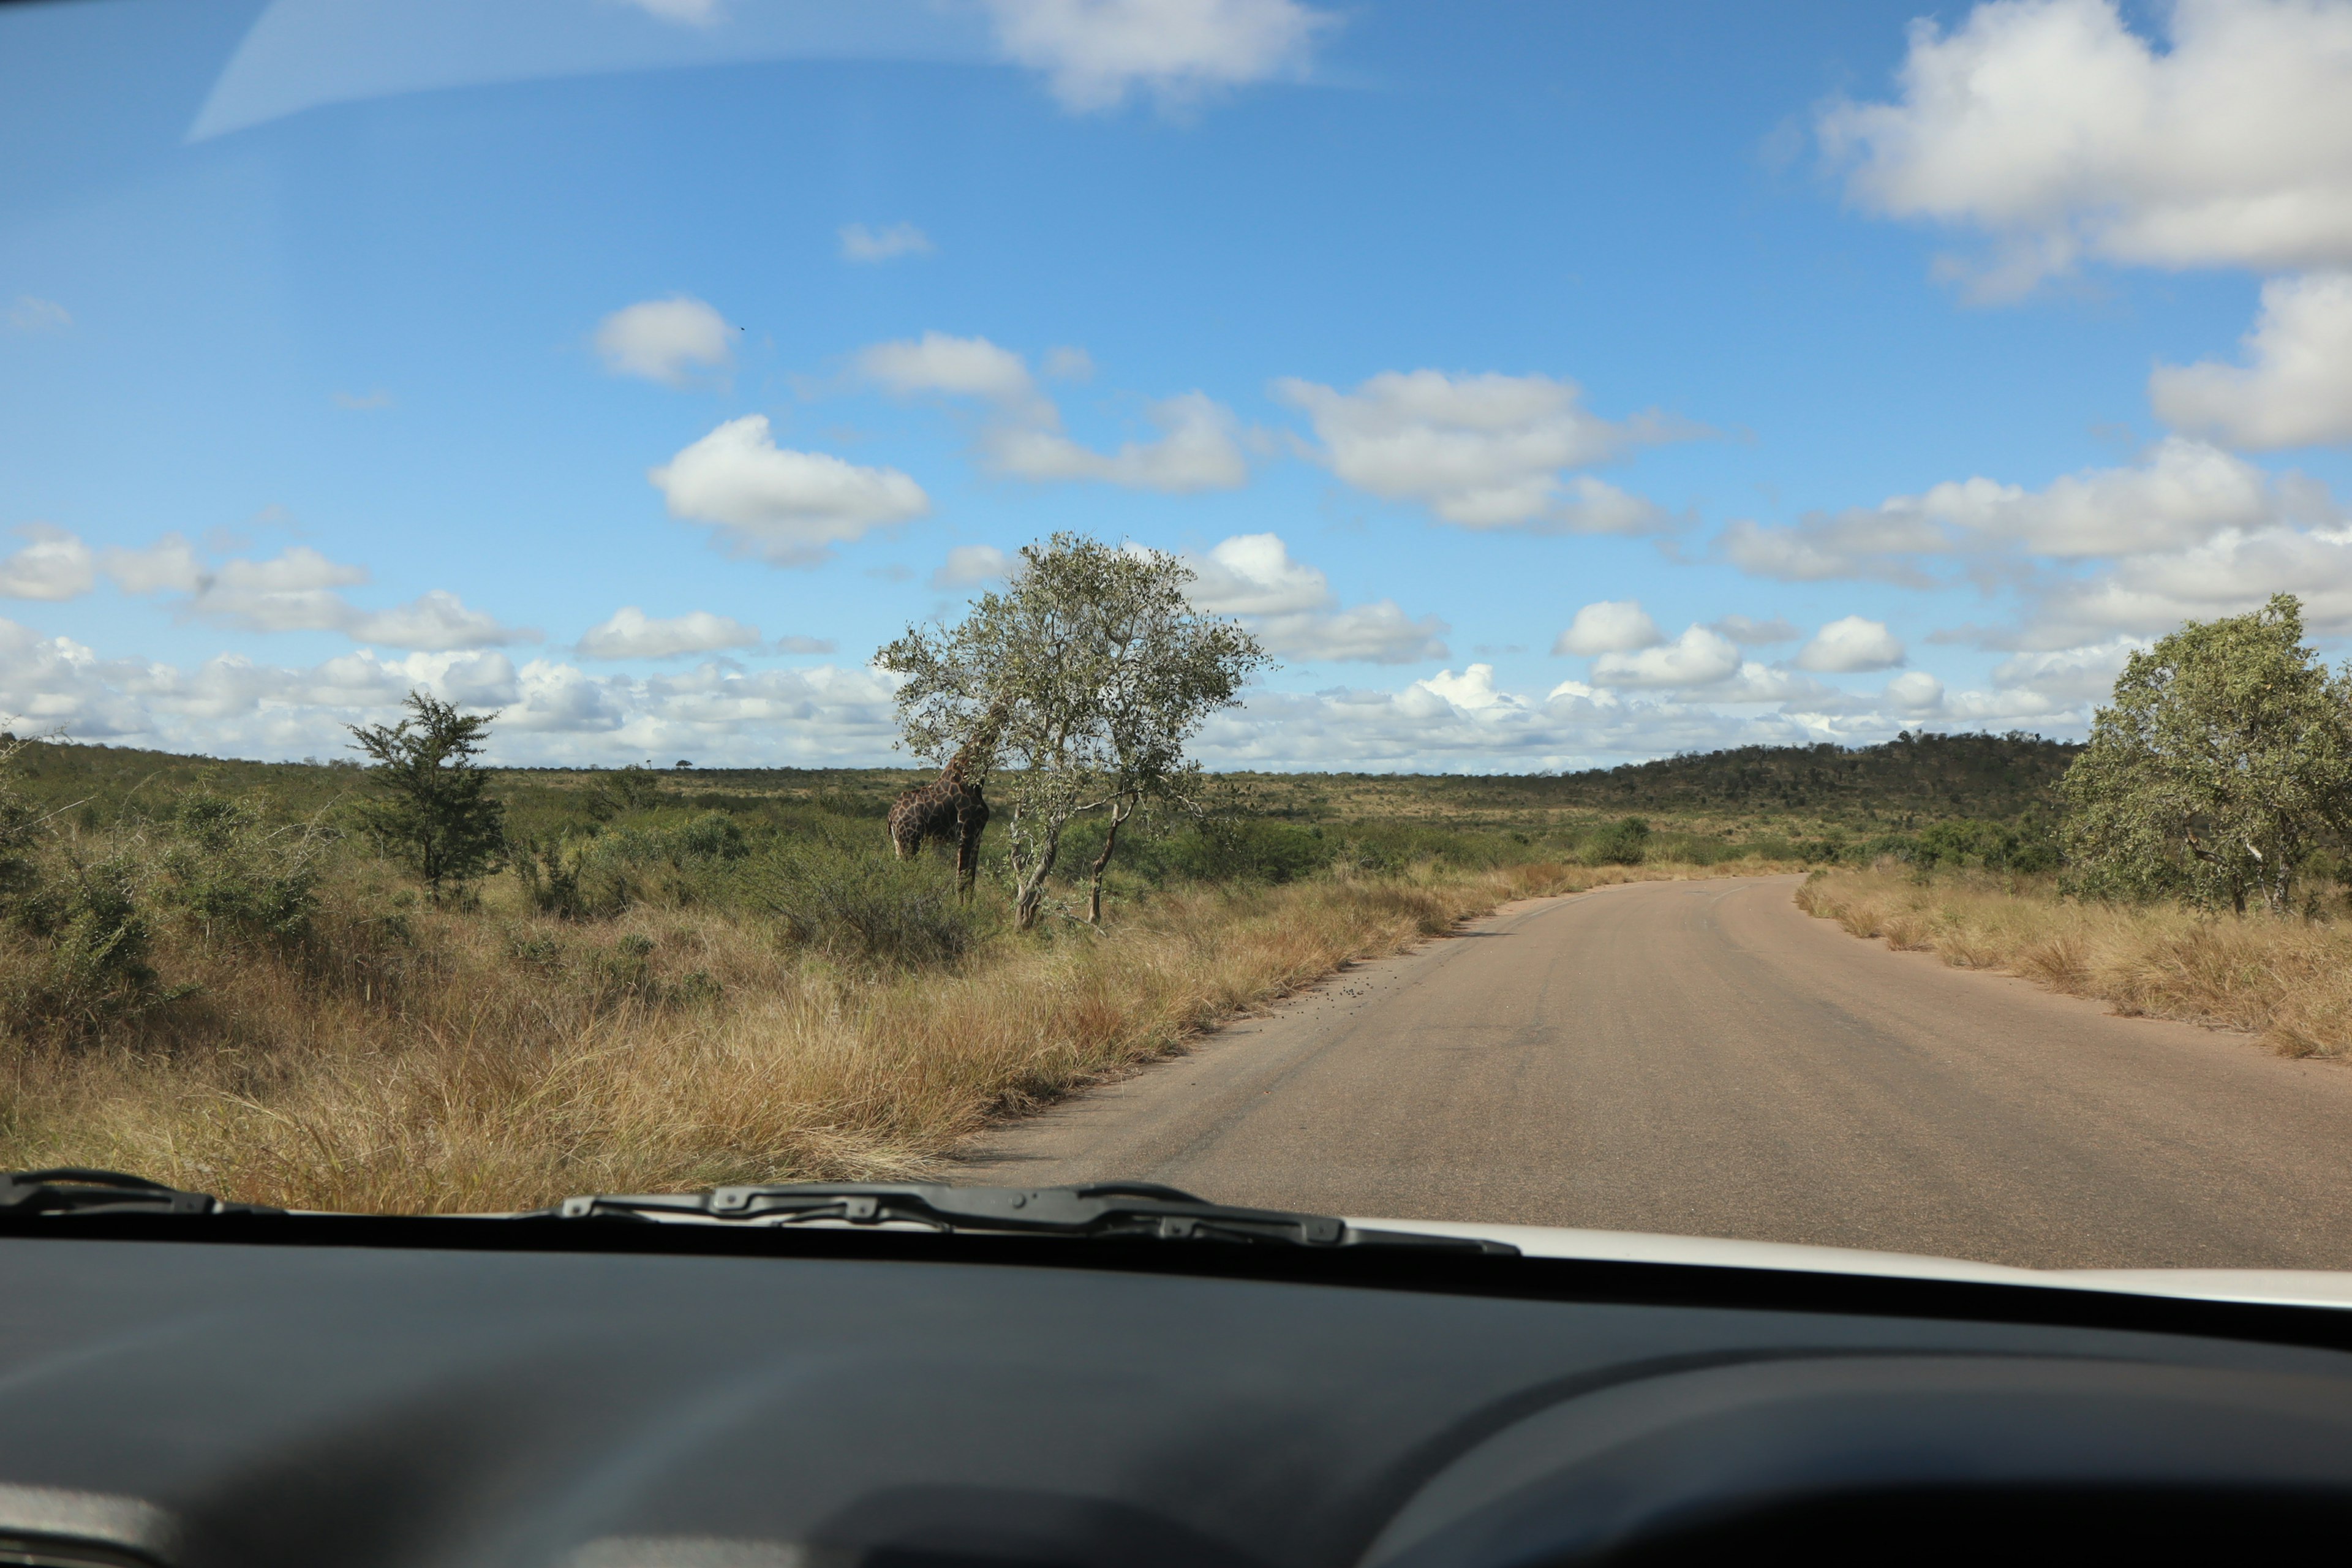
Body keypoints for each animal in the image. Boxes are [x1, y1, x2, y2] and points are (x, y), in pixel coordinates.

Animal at [880, 705, 997, 902]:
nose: (1000, 710)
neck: (975, 781)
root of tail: (891, 814)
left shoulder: (978, 833)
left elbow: (971, 881)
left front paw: (969, 907)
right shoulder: (965, 832)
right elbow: (961, 879)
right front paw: (960, 908)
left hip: (898, 842)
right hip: (910, 841)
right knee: (906, 875)